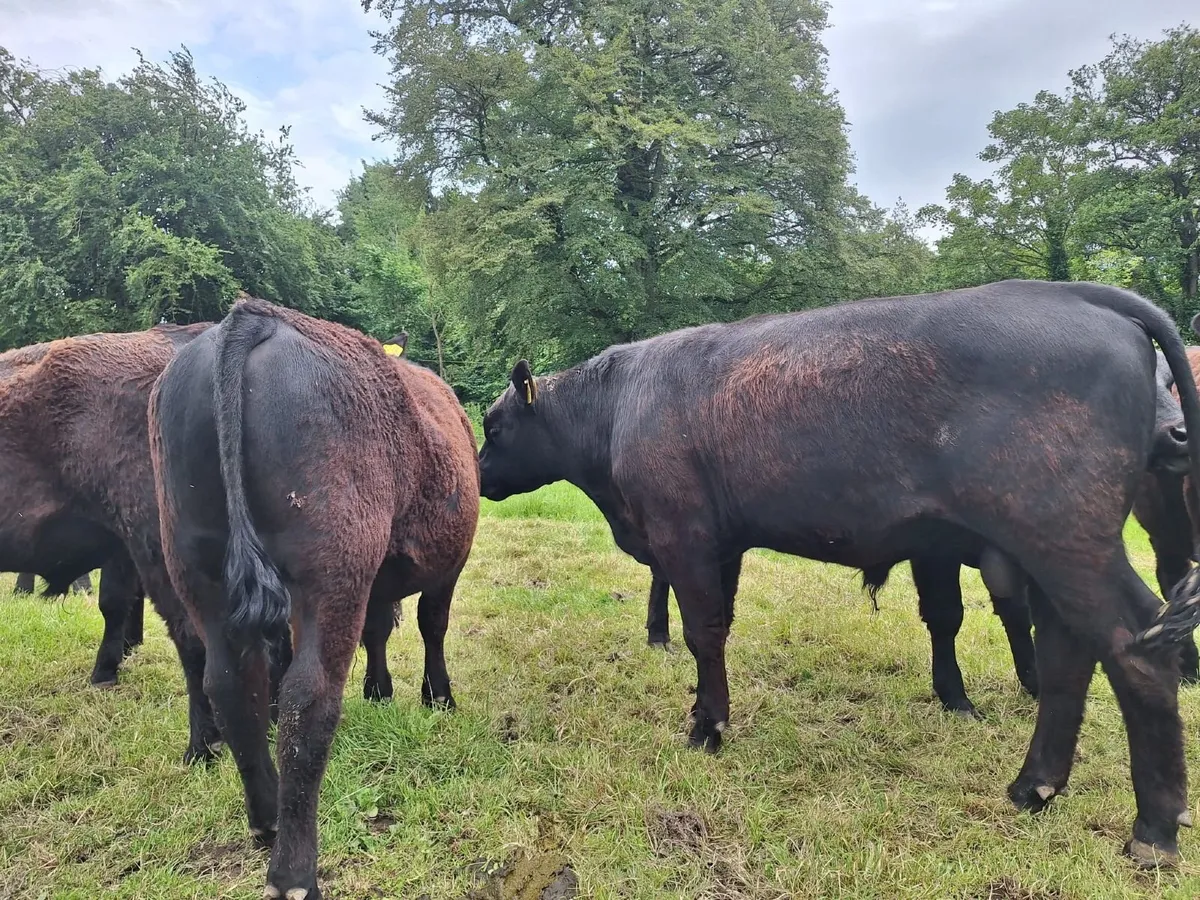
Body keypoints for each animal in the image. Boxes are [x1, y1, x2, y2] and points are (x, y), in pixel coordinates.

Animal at [150, 298, 479, 899]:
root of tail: (253, 317)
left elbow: (381, 628)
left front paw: (381, 690)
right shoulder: (447, 563)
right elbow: (431, 624)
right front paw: (436, 695)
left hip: (196, 567)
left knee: (229, 684)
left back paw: (267, 818)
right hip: (330, 569)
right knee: (309, 696)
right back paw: (294, 872)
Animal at [644, 349, 1198, 717]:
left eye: (1171, 382)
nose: (1179, 435)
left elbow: (1019, 615)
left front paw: (1034, 679)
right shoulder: (935, 551)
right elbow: (947, 616)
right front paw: (957, 696)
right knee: (663, 576)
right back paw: (658, 635)